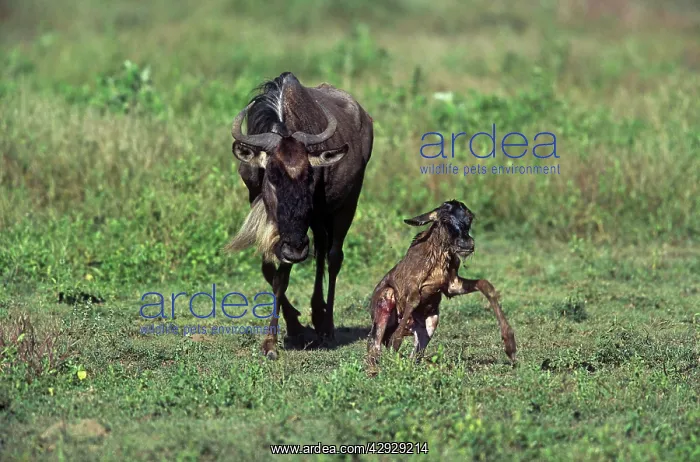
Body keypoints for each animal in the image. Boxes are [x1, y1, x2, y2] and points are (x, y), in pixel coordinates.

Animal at [225, 72, 374, 359]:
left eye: (310, 176)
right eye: (272, 176)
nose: (295, 248)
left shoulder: (298, 229)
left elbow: (281, 277)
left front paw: (272, 342)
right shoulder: (267, 212)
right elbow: (268, 269)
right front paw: (294, 323)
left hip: (347, 205)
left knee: (333, 257)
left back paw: (327, 328)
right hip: (317, 220)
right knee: (321, 250)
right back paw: (316, 315)